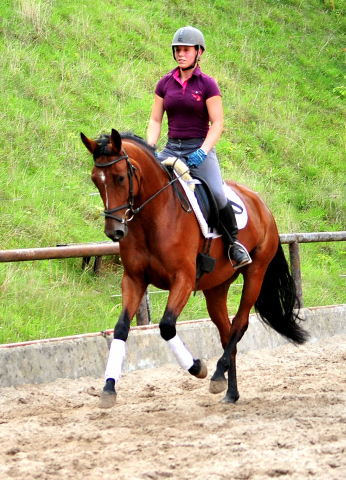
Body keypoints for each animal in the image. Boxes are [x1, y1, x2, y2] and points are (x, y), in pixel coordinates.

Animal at [82, 129, 308, 406]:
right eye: (95, 180)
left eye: (121, 177)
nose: (114, 232)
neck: (153, 217)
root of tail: (261, 203)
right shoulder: (134, 279)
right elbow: (121, 328)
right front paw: (109, 388)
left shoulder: (184, 279)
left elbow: (167, 326)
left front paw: (197, 367)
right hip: (216, 287)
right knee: (227, 332)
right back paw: (230, 391)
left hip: (256, 272)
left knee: (240, 324)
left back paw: (218, 373)